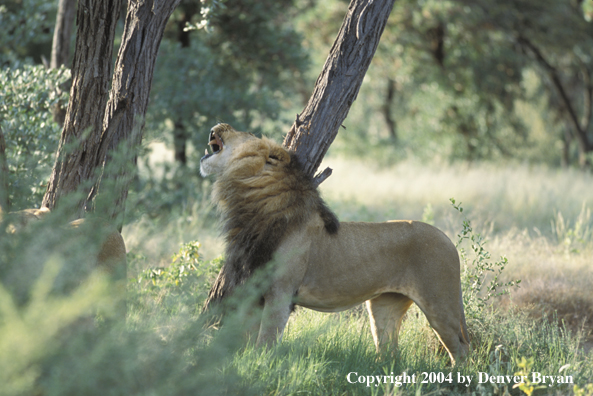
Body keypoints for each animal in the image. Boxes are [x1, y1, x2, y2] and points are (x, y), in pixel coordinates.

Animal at [201, 124, 470, 366]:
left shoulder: (280, 292)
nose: (219, 125)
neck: (250, 205)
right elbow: (244, 337)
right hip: (384, 305)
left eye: (246, 133)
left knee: (460, 349)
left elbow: (265, 342)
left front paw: (260, 369)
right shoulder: (254, 289)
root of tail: (448, 239)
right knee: (390, 353)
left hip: (439, 303)